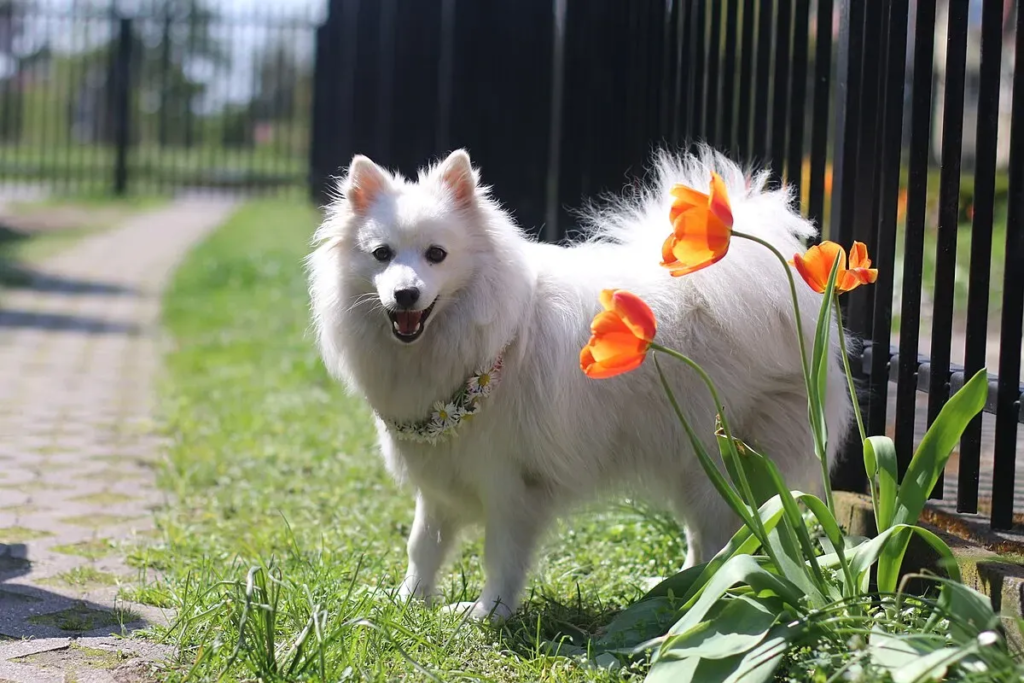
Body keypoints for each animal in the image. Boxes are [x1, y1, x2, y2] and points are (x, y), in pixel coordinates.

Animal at [307, 147, 851, 622]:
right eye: (382, 255)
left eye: (436, 254)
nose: (405, 293)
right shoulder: (441, 476)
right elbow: (422, 546)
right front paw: (406, 601)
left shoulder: (512, 486)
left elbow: (500, 557)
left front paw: (487, 615)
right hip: (691, 460)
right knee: (704, 537)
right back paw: (679, 590)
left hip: (722, 462)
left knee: (723, 538)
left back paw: (704, 596)